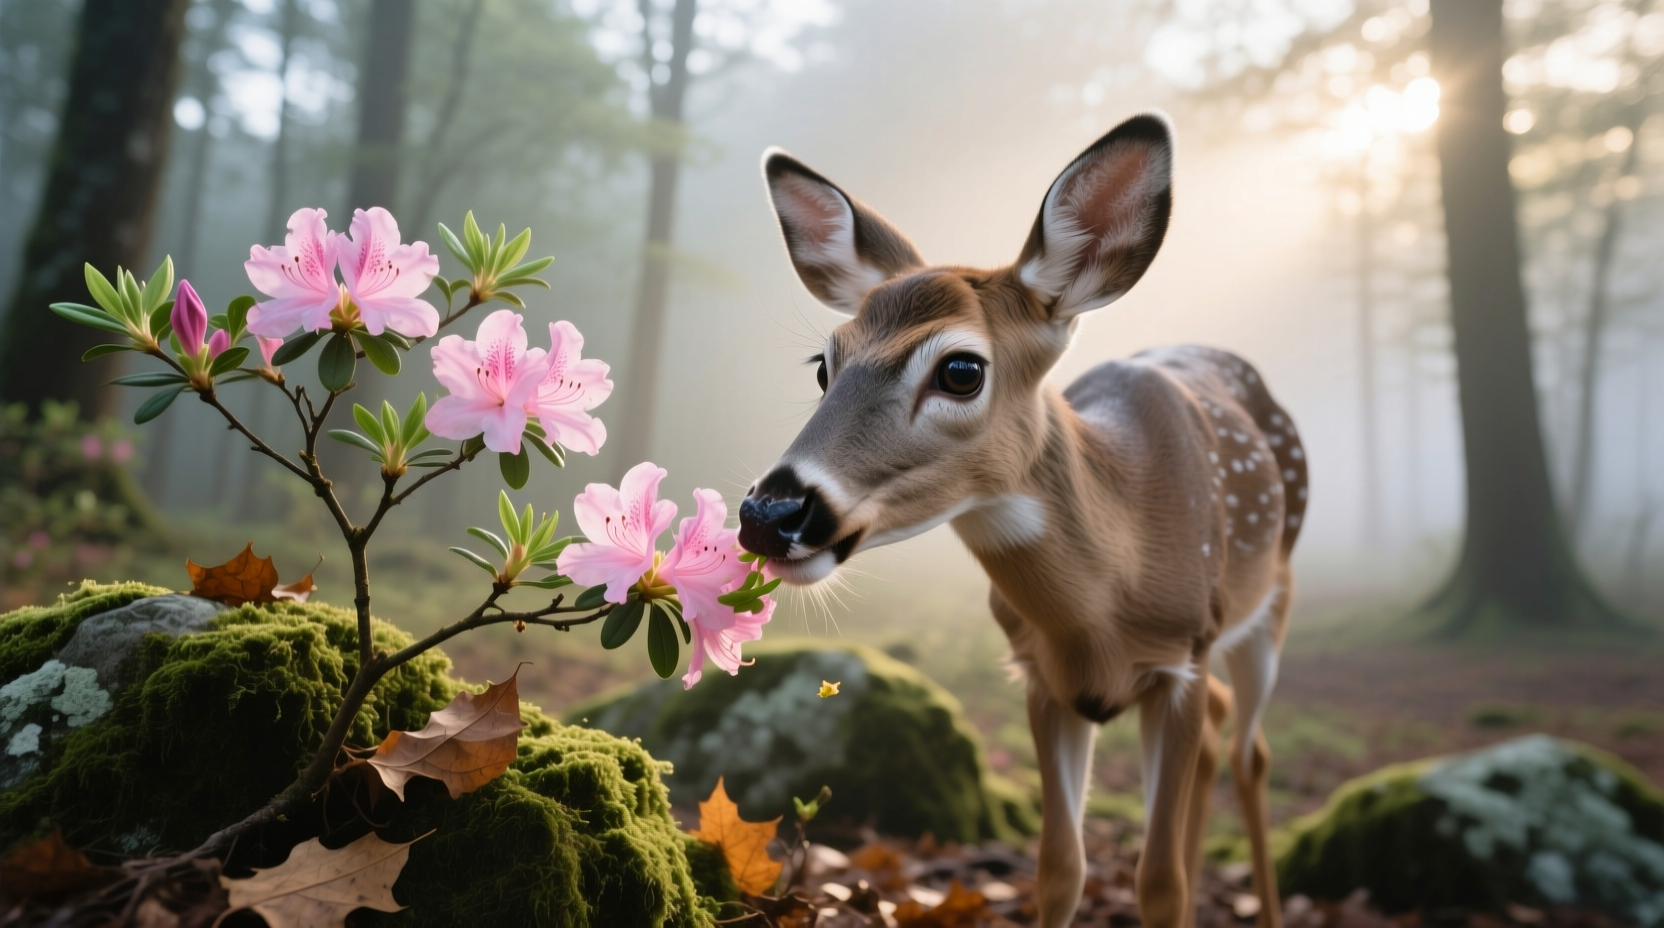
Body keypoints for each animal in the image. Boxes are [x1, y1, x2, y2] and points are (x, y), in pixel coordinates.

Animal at [735, 112, 1307, 928]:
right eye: (824, 364)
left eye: (961, 370)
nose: (769, 512)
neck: (1104, 605)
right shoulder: (1039, 673)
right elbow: (1060, 867)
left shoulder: (1183, 658)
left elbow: (1159, 882)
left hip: (1269, 601)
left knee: (1250, 751)